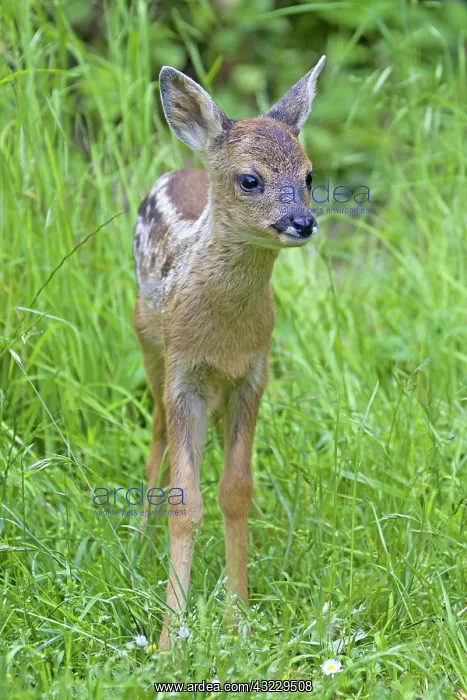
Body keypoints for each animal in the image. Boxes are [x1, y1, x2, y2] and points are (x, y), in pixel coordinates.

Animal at [132, 56, 326, 650]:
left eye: (309, 176)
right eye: (250, 179)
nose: (302, 222)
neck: (224, 331)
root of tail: (186, 167)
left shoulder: (253, 374)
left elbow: (235, 491)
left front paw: (237, 619)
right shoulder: (185, 375)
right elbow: (185, 503)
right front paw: (170, 641)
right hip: (148, 341)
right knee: (155, 428)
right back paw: (139, 537)